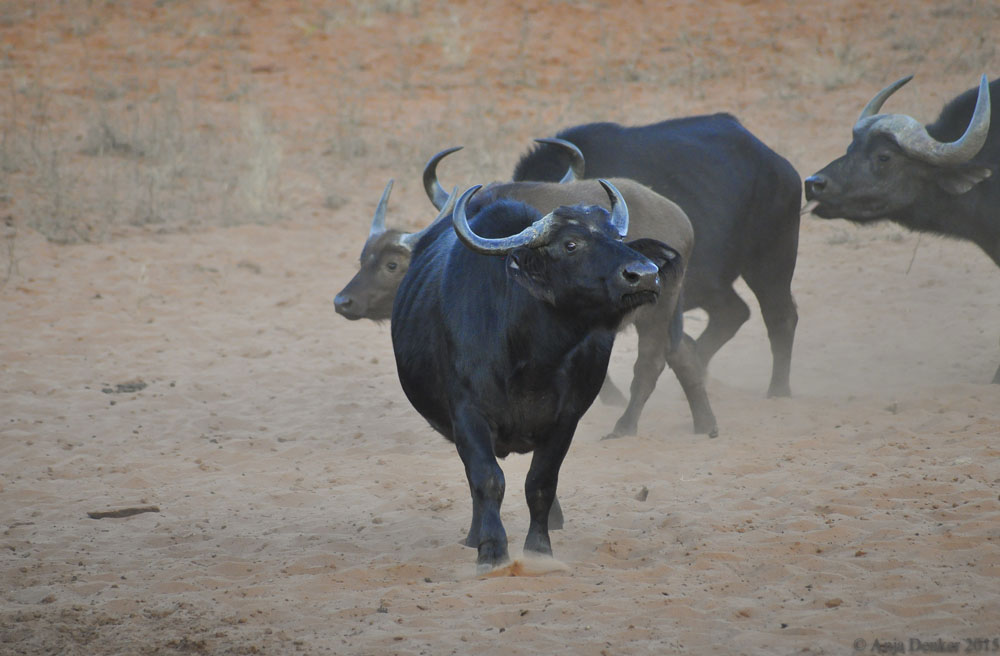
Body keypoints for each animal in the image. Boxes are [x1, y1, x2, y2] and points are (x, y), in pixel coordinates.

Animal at [391, 180, 678, 571]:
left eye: (617, 236)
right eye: (570, 244)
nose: (645, 275)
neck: (530, 358)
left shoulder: (566, 419)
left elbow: (541, 483)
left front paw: (539, 550)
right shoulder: (467, 414)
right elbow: (487, 480)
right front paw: (491, 550)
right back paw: (474, 536)